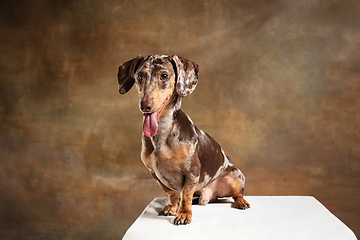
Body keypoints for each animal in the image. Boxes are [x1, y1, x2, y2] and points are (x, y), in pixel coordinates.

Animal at [116, 54, 249, 225]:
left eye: (164, 76)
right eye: (139, 76)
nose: (145, 105)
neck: (162, 133)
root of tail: (209, 196)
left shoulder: (192, 171)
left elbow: (185, 195)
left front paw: (184, 214)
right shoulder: (155, 173)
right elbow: (172, 193)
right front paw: (172, 208)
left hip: (236, 176)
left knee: (237, 194)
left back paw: (241, 201)